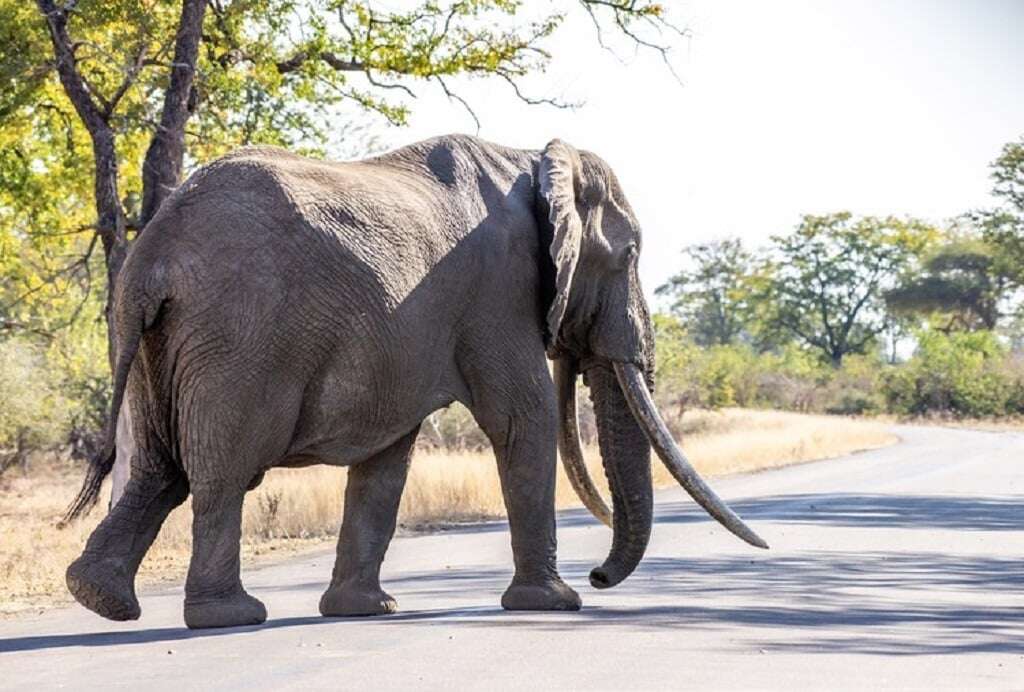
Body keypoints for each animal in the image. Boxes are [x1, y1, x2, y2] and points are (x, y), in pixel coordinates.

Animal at [64, 132, 765, 630]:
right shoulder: (496, 288)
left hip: (156, 341)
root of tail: (154, 252)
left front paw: (367, 612)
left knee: (159, 468)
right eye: (629, 257)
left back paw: (99, 599)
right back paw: (229, 617)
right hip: (238, 335)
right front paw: (553, 603)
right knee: (221, 471)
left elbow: (387, 457)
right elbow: (524, 416)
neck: (536, 159)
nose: (596, 576)